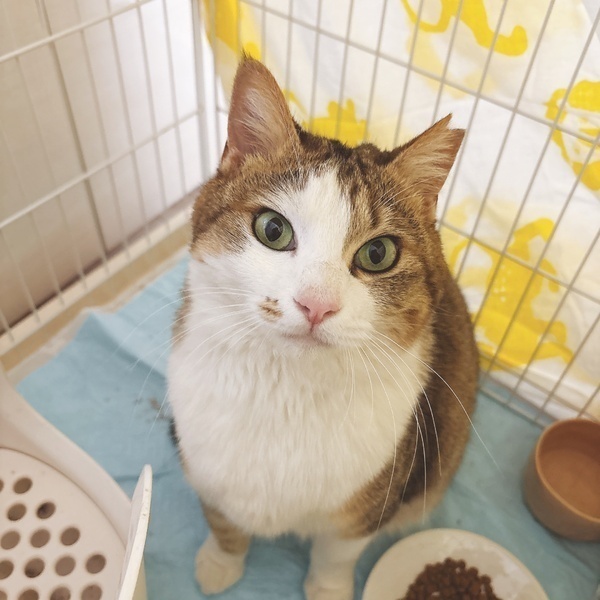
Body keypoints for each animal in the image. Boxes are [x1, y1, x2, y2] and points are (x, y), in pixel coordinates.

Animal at [168, 56, 478, 600]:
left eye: (378, 253)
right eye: (273, 229)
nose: (316, 304)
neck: (285, 392)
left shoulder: (364, 503)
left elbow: (335, 554)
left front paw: (327, 588)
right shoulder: (204, 465)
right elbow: (223, 522)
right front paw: (221, 562)